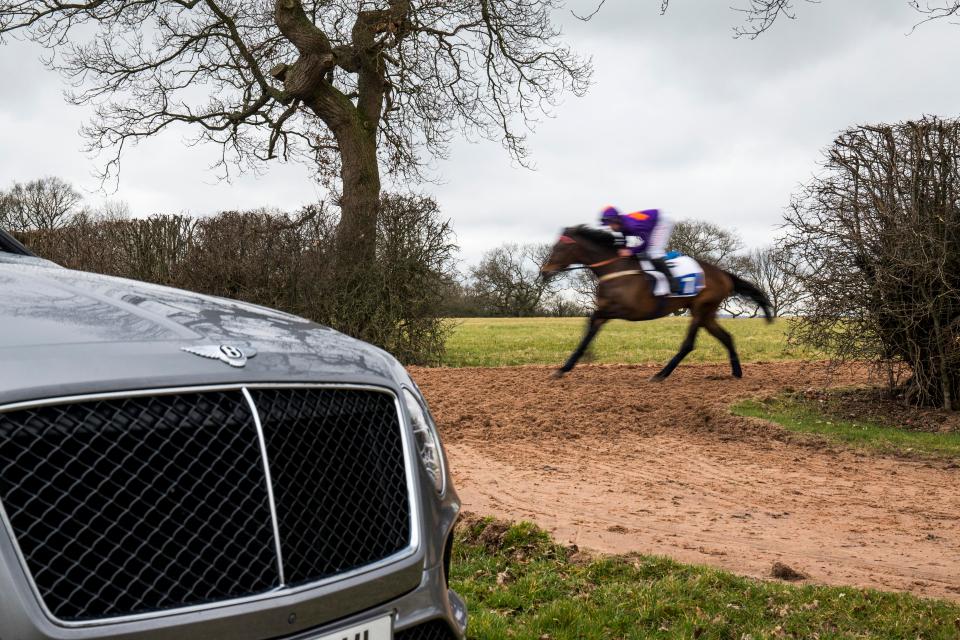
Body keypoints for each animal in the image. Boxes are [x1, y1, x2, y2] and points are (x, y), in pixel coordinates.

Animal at [540, 226, 772, 380]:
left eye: (558, 248)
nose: (544, 271)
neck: (614, 269)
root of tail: (724, 274)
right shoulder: (606, 309)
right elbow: (589, 331)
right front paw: (566, 367)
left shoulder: (624, 310)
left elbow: (591, 321)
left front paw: (579, 360)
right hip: (707, 313)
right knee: (726, 337)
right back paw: (736, 373)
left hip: (701, 309)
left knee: (689, 344)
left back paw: (661, 374)